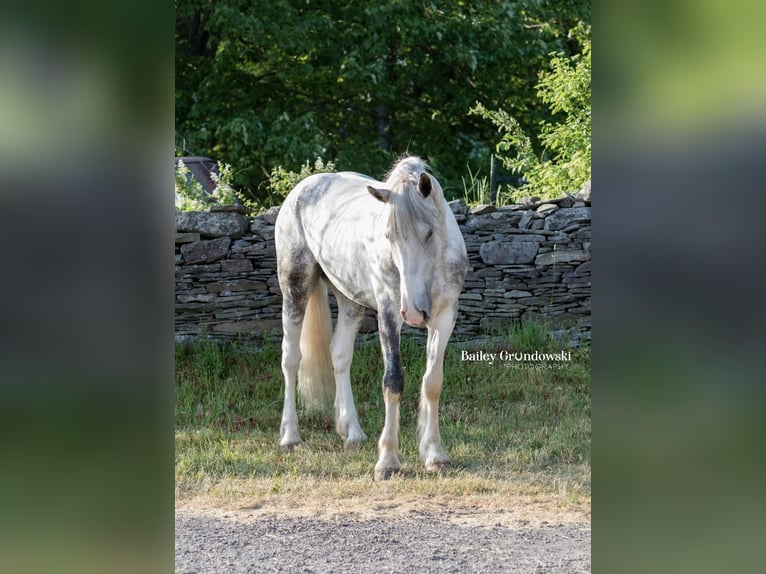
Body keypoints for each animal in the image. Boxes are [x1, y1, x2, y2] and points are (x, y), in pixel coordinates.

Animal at [276, 155, 468, 480]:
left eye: (429, 233)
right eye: (390, 237)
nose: (414, 312)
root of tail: (303, 188)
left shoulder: (444, 317)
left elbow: (433, 383)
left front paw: (435, 455)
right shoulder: (389, 313)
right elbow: (393, 382)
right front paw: (388, 461)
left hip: (349, 299)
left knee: (340, 356)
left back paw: (351, 431)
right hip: (295, 286)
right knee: (291, 359)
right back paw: (290, 436)